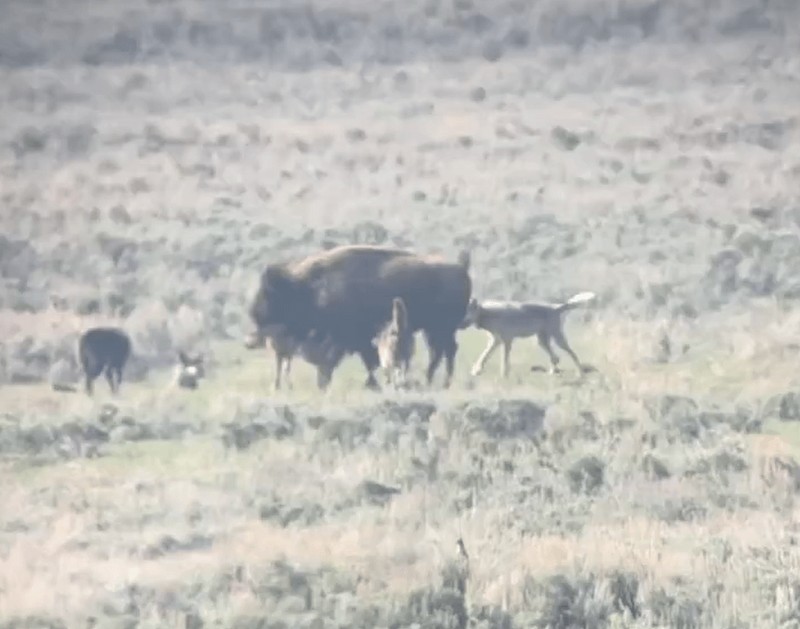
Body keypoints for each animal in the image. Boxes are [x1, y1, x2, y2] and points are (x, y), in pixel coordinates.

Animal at [250, 244, 472, 388]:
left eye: (272, 299)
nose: (250, 340)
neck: (308, 287)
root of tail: (461, 268)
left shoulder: (353, 339)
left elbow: (367, 361)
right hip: (434, 330)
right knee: (441, 351)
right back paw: (433, 380)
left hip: (441, 328)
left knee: (445, 351)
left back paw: (439, 381)